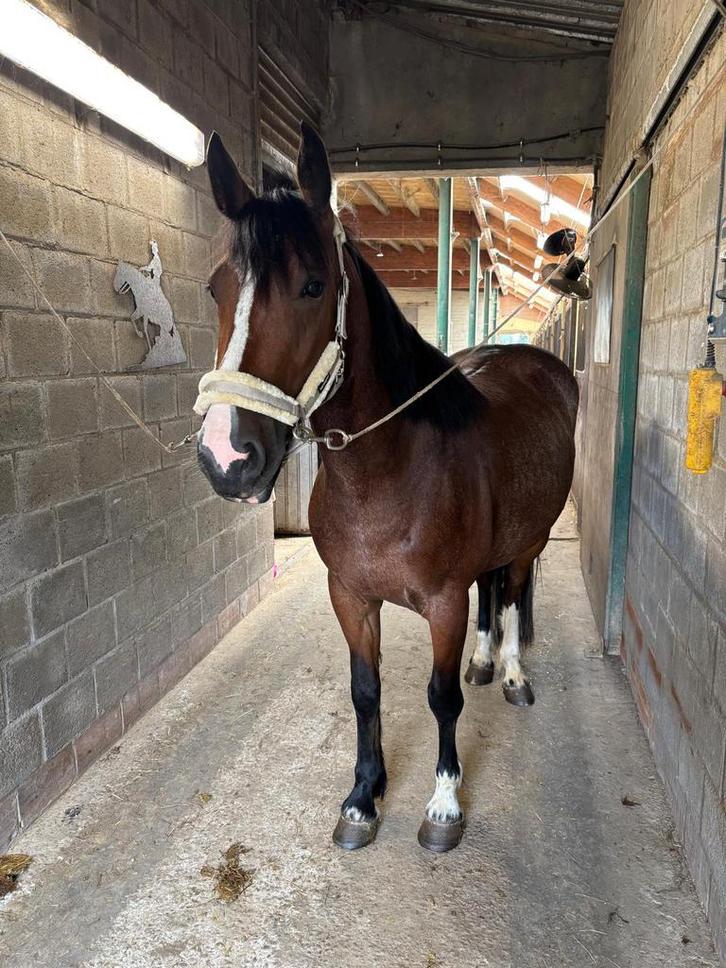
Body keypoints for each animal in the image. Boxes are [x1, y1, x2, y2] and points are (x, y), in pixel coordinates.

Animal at [194, 123, 578, 853]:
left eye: (313, 286)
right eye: (215, 288)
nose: (227, 457)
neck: (385, 478)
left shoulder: (443, 604)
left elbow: (440, 698)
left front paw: (444, 806)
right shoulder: (349, 595)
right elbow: (365, 691)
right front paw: (362, 799)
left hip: (530, 541)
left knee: (513, 593)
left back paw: (513, 675)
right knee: (493, 594)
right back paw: (484, 661)